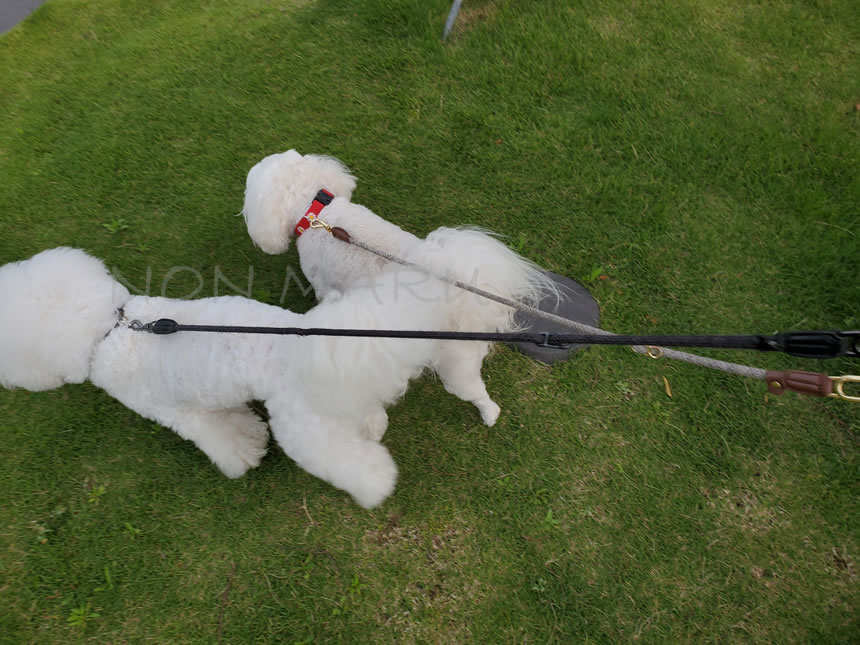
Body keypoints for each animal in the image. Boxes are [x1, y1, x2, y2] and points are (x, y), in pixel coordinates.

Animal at [0, 247, 456, 508]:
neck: (113, 327)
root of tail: (302, 344)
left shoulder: (177, 412)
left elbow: (220, 437)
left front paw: (243, 457)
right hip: (332, 394)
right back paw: (372, 426)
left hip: (303, 430)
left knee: (349, 462)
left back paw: (376, 486)